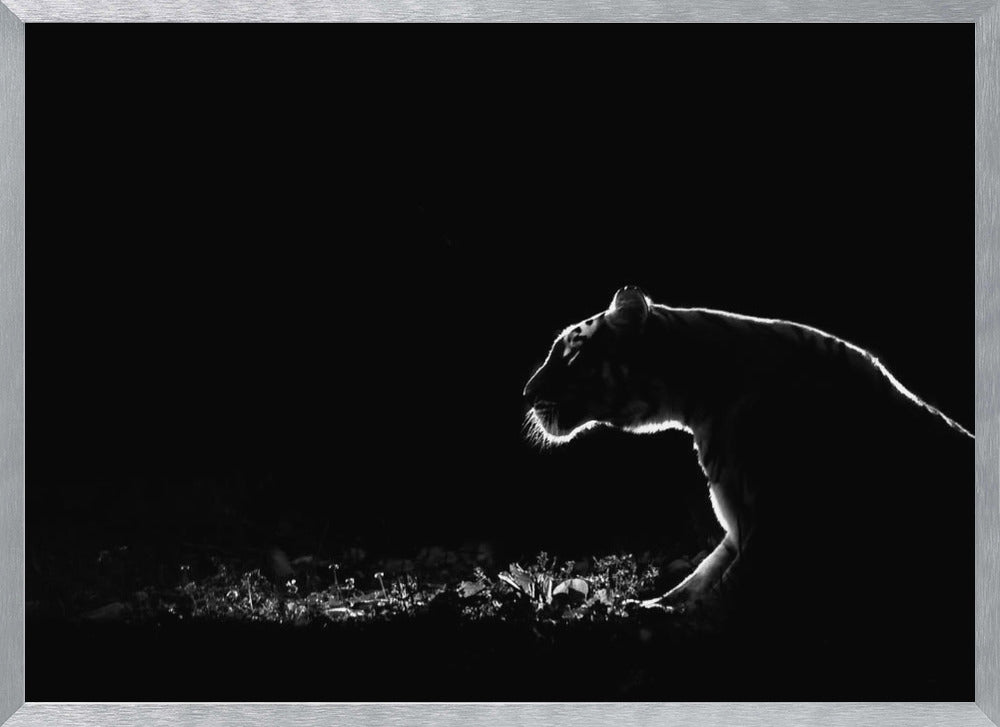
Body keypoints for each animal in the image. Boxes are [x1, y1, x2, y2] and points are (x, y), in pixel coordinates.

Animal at [523, 286, 973, 664]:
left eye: (571, 356)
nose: (526, 395)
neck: (698, 401)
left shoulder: (776, 525)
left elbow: (724, 591)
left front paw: (662, 626)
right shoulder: (741, 526)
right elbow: (701, 576)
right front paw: (649, 606)